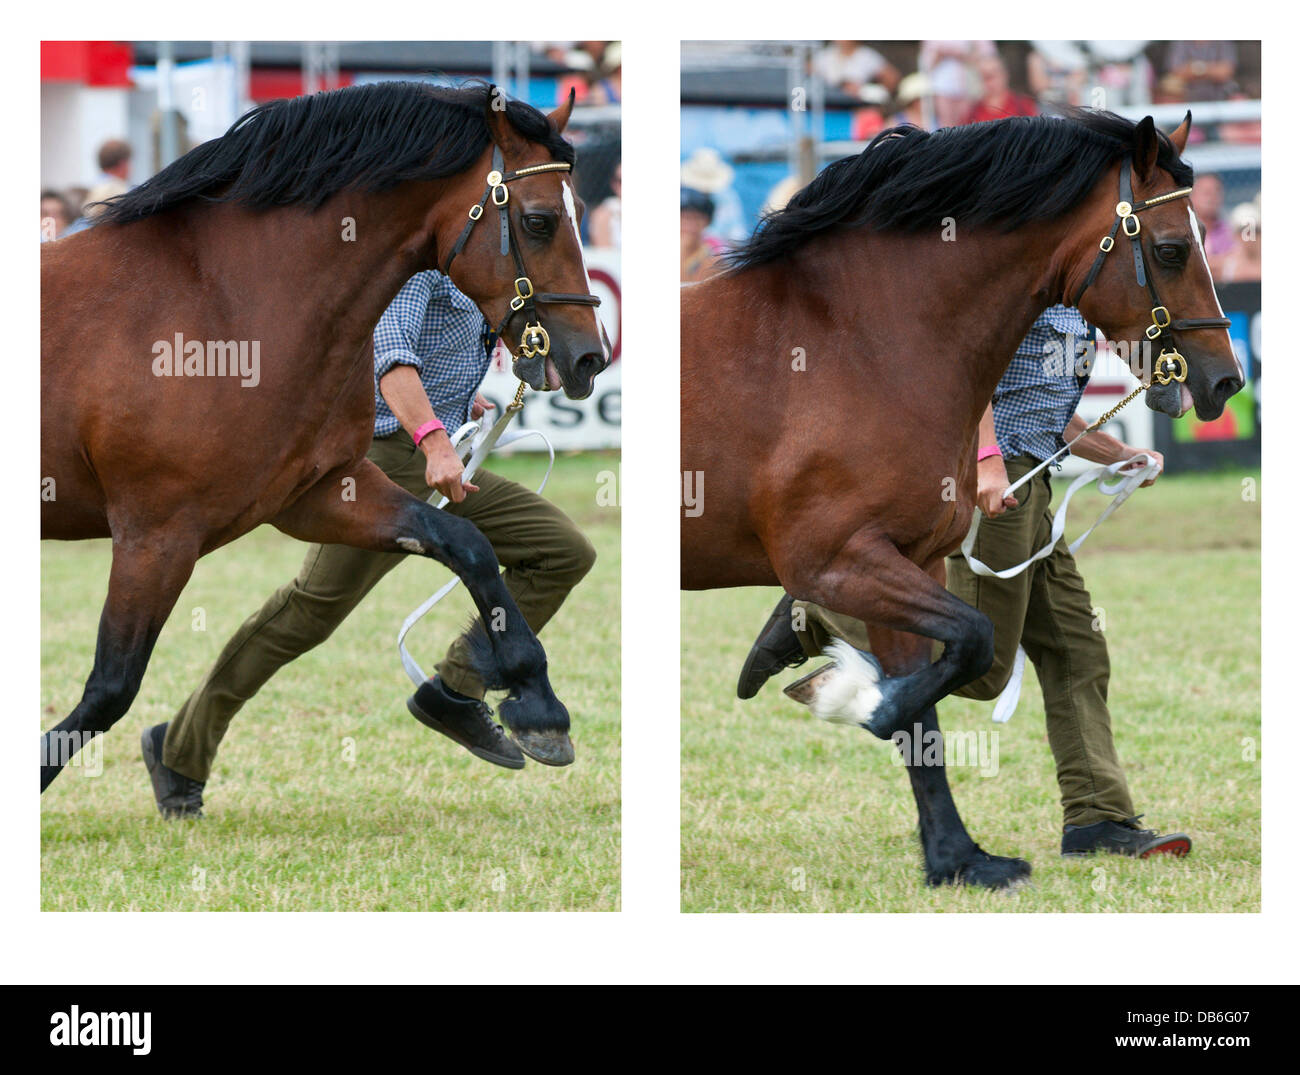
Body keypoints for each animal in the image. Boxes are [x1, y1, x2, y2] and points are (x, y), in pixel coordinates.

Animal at [40, 83, 608, 790]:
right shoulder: (156, 534)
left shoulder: (321, 493)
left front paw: (538, 708)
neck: (224, 310)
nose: (590, 358)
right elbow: (110, 688)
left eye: (580, 211)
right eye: (537, 221)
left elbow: (466, 542)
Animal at [681, 111, 1237, 889]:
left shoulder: (904, 560)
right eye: (1171, 248)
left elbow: (931, 717)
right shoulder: (836, 561)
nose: (1225, 381)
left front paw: (959, 859)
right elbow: (966, 649)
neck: (852, 345)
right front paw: (862, 701)